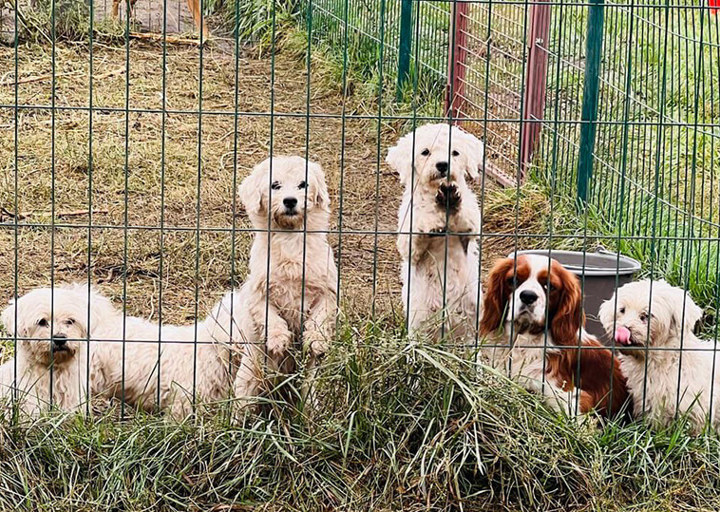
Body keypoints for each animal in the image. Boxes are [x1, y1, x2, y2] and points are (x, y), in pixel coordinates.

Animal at [231, 156, 338, 401]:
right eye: (275, 185)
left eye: (303, 184)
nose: (290, 201)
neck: (290, 239)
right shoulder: (259, 292)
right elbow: (270, 317)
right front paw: (278, 340)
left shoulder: (326, 291)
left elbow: (320, 317)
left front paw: (316, 340)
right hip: (248, 380)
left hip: (307, 383)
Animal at [386, 123, 484, 340]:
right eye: (425, 152)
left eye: (455, 152)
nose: (442, 165)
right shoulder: (409, 246)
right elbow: (418, 231)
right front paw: (429, 221)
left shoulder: (469, 230)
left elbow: (466, 217)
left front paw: (452, 200)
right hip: (419, 323)